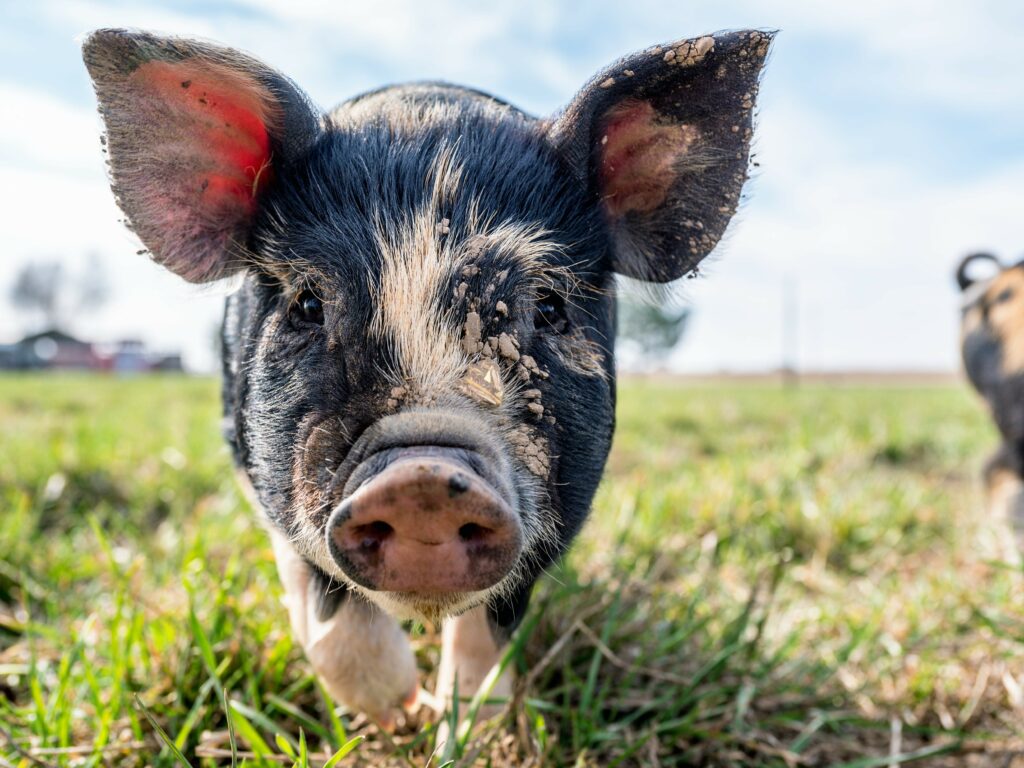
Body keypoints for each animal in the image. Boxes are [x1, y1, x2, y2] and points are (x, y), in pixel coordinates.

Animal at [83, 28, 770, 729]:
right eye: (308, 303)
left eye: (549, 306)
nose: (423, 480)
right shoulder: (260, 473)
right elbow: (325, 615)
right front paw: (401, 712)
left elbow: (487, 638)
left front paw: (460, 723)